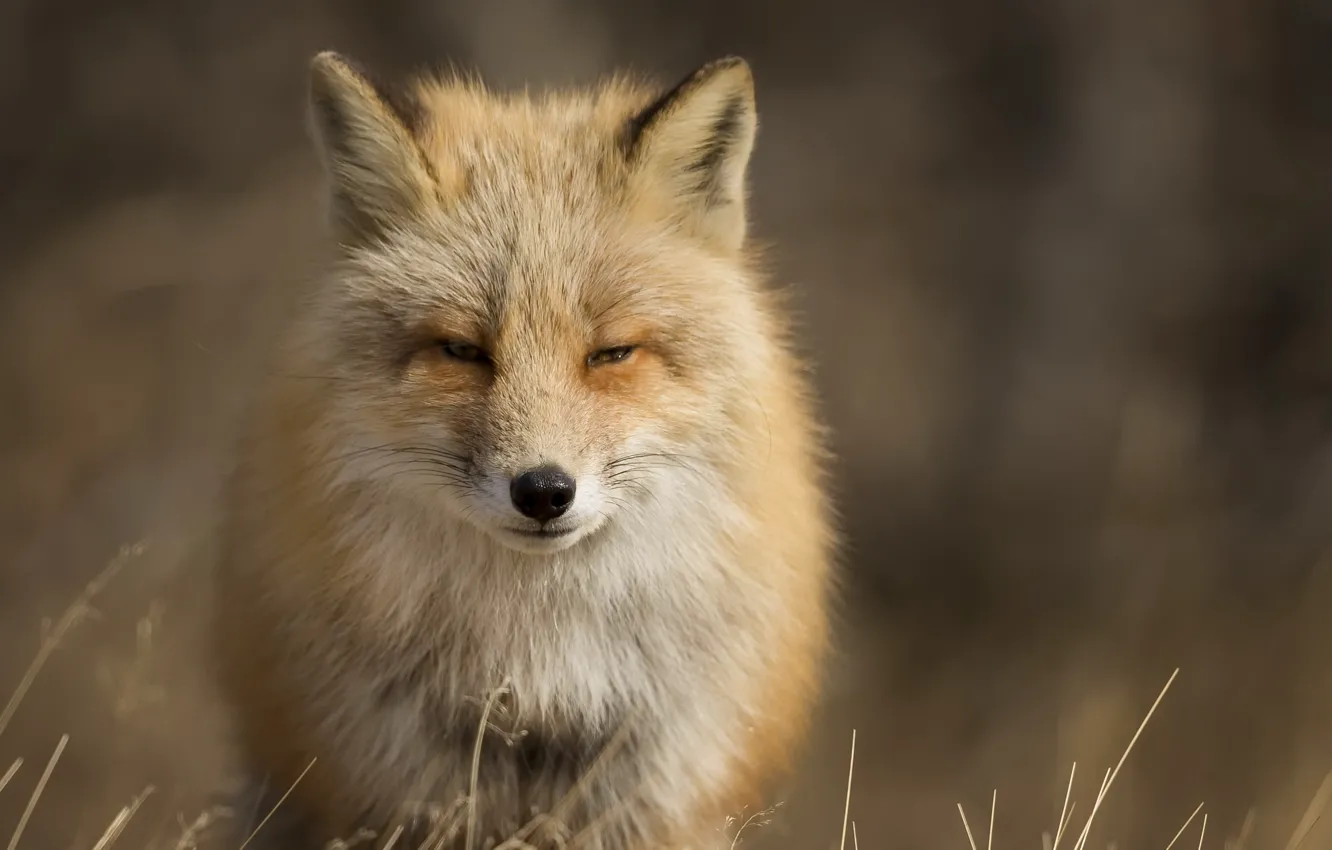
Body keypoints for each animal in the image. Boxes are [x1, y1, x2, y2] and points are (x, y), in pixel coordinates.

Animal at [209, 49, 836, 850]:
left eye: (611, 353)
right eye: (462, 351)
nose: (543, 491)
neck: (539, 663)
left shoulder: (658, 777)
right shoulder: (392, 771)